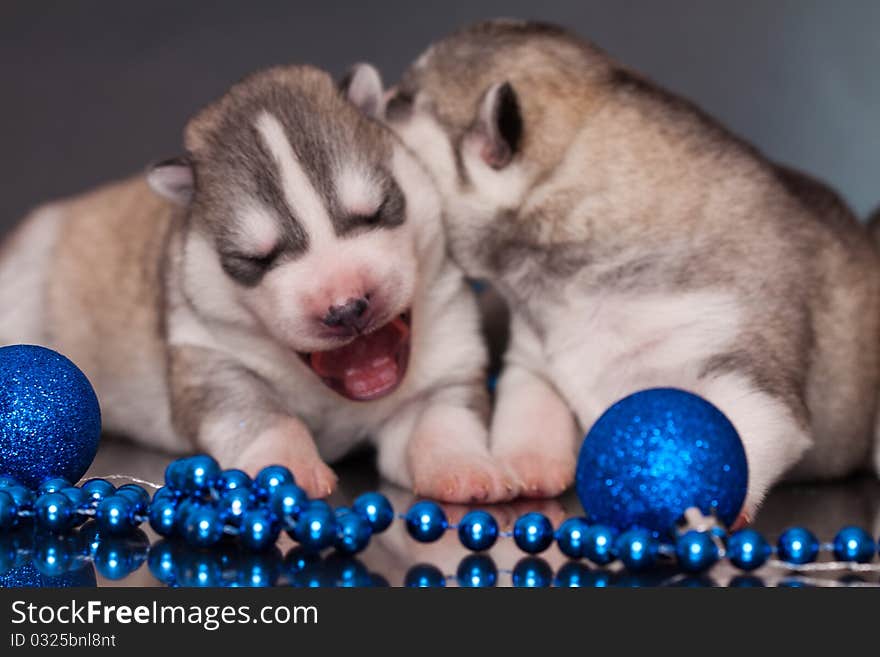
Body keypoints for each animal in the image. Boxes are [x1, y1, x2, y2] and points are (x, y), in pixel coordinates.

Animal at [0, 64, 520, 500]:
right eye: (257, 258)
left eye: (374, 212)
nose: (348, 307)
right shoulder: (210, 357)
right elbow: (263, 416)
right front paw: (290, 468)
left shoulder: (447, 357)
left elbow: (443, 415)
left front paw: (466, 468)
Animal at [348, 20, 880, 520]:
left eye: (401, 103)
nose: (366, 95)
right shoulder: (535, 361)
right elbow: (530, 409)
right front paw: (527, 463)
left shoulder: (743, 366)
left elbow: (737, 429)